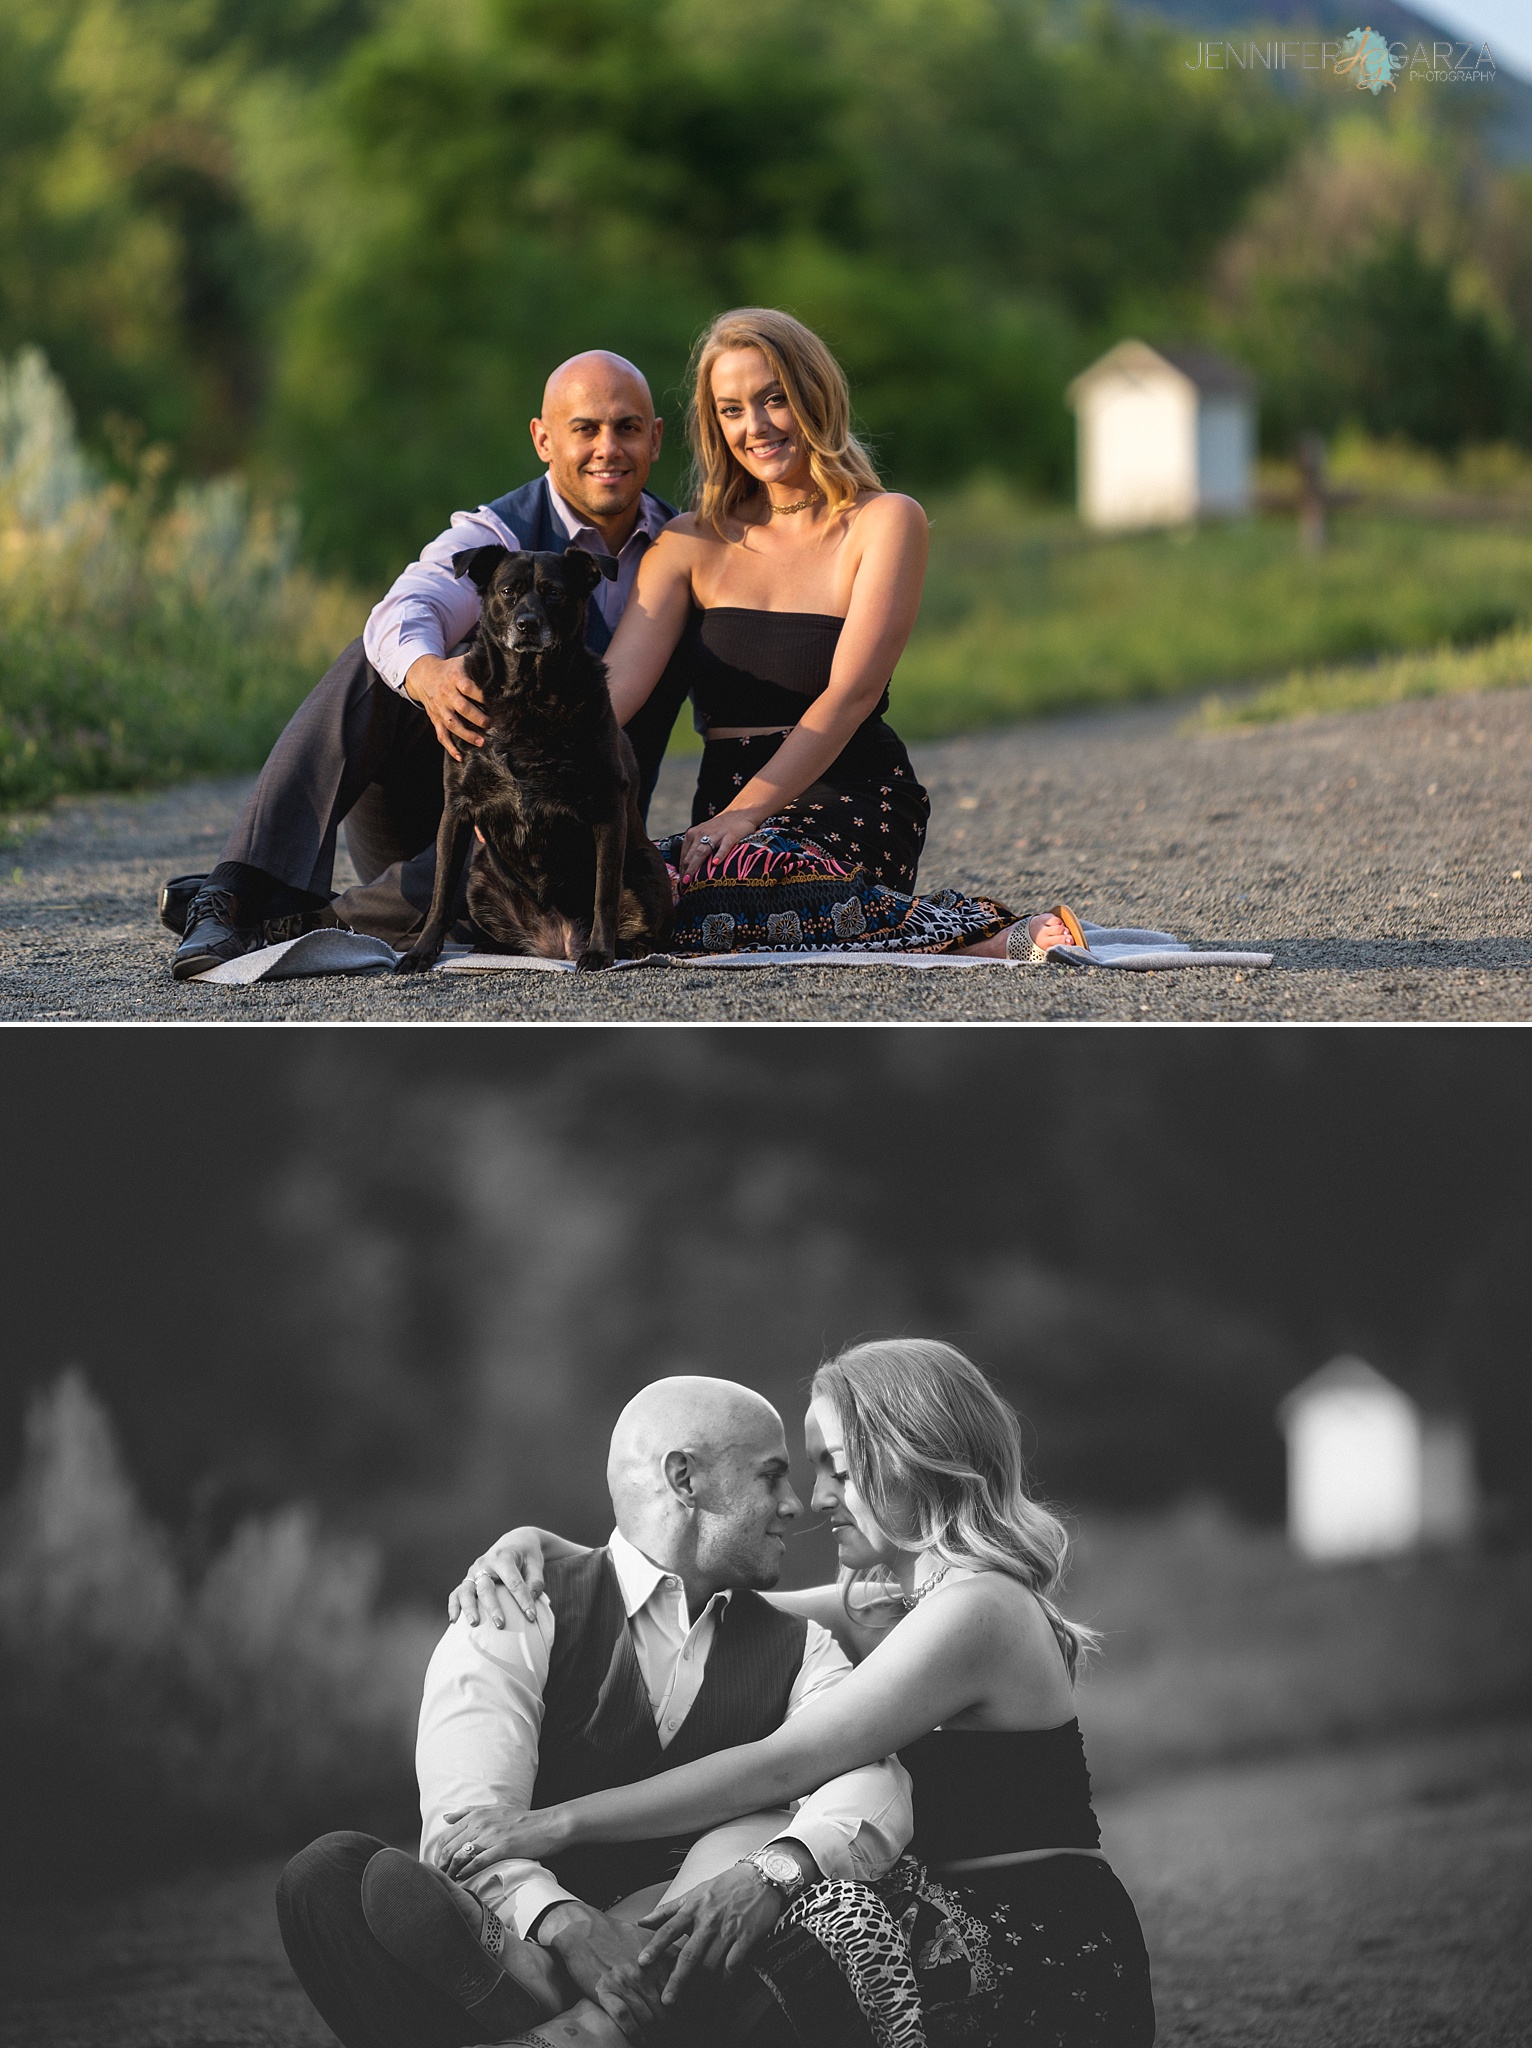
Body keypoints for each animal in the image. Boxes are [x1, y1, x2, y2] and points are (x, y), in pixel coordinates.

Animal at [395, 544, 675, 974]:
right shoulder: (457, 809)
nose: (527, 624)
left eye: (554, 592)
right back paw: (490, 949)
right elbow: (440, 893)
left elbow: (604, 895)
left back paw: (630, 949)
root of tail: (557, 945)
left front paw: (600, 953)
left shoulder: (606, 809)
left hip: (649, 870)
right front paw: (421, 952)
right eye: (508, 591)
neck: (527, 695)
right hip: (480, 880)